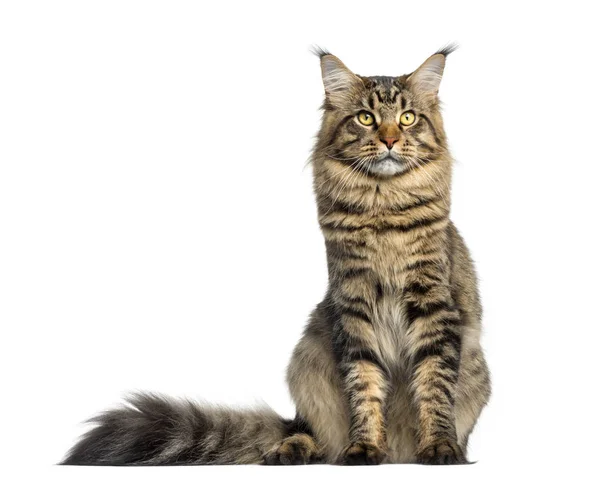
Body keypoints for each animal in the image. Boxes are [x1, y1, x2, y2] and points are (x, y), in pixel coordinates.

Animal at [62, 47, 492, 466]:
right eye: (366, 118)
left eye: (407, 118)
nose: (388, 140)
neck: (382, 206)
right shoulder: (353, 304)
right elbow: (364, 385)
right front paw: (365, 448)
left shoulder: (433, 303)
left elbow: (434, 385)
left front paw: (439, 448)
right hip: (307, 361)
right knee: (314, 435)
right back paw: (291, 449)